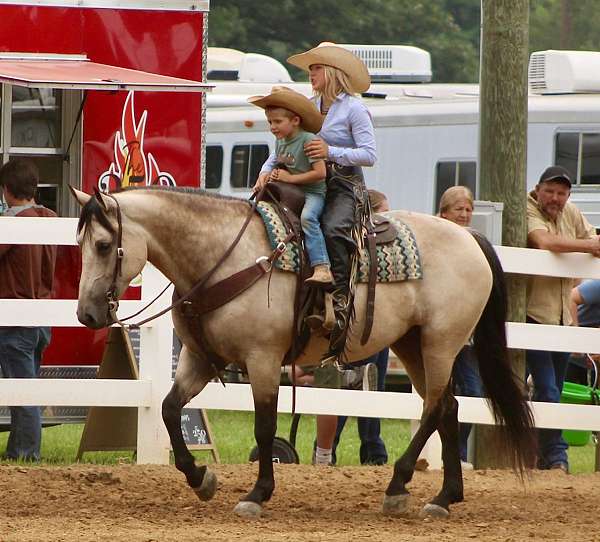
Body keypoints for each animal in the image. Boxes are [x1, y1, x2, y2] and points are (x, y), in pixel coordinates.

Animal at [70, 188, 536, 524]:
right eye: (79, 244)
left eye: (104, 244)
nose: (86, 313)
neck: (223, 258)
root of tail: (470, 237)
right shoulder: (199, 360)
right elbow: (169, 410)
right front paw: (201, 478)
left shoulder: (262, 359)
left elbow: (264, 427)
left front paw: (257, 494)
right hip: (412, 343)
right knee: (448, 408)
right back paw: (443, 496)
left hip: (441, 342)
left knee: (436, 408)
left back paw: (398, 486)